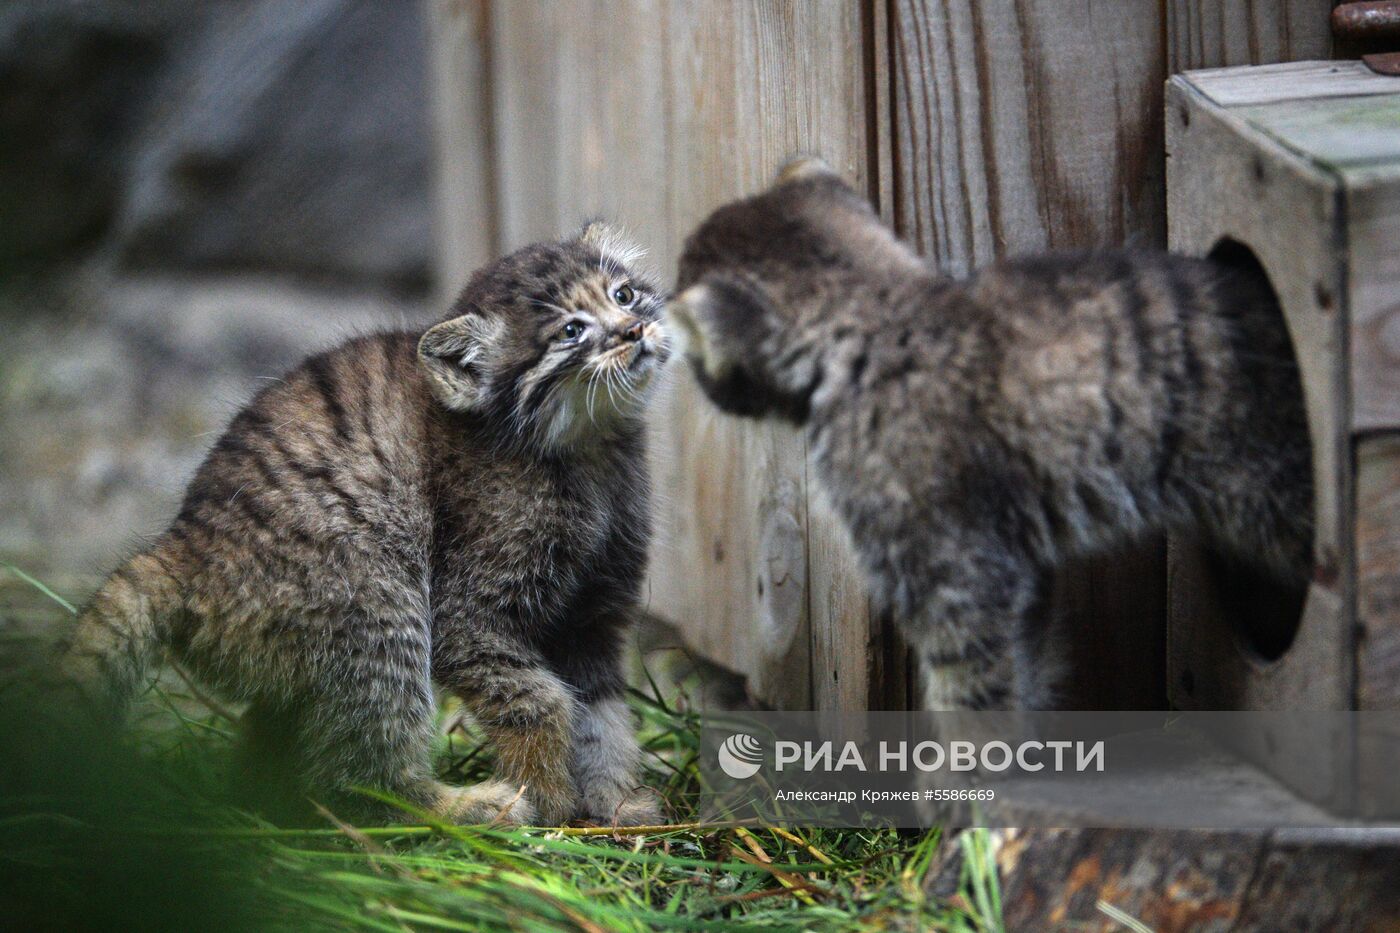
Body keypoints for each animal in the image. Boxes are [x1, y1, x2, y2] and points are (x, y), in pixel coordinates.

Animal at [64, 224, 672, 823]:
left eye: (622, 294)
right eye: (572, 331)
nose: (635, 328)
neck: (588, 449)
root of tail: (186, 545)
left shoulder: (593, 615)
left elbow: (603, 715)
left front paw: (614, 797)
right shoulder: (465, 615)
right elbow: (538, 698)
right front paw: (548, 802)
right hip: (375, 601)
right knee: (363, 775)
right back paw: (465, 807)